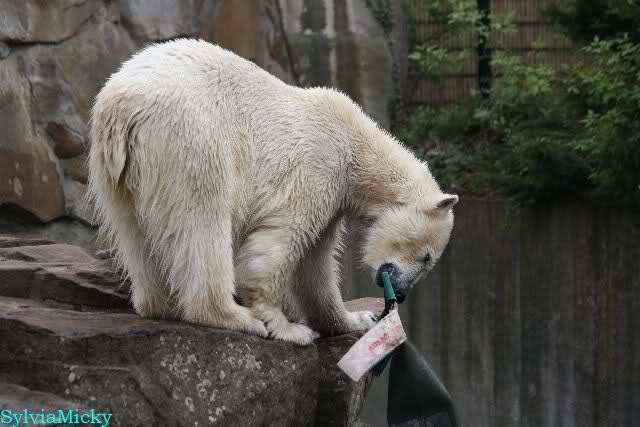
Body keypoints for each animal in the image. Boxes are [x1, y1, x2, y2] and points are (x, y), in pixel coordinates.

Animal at [88, 39, 458, 346]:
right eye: (427, 257)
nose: (402, 294)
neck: (356, 144)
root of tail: (122, 105)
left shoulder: (333, 199)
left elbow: (315, 268)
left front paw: (355, 319)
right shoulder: (317, 166)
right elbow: (278, 243)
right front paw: (288, 327)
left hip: (117, 169)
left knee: (134, 232)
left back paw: (161, 305)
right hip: (190, 138)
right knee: (202, 220)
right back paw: (232, 316)